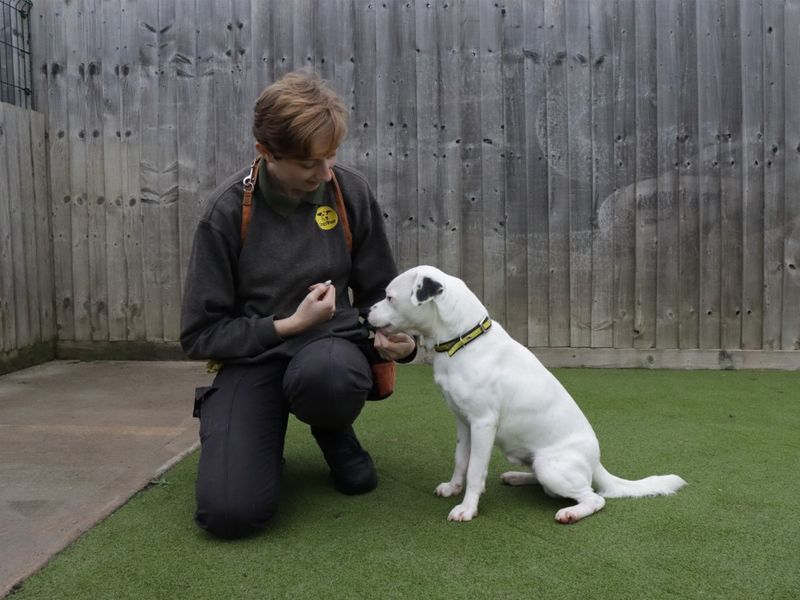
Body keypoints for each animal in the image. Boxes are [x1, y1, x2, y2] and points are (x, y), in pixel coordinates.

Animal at [368, 264, 688, 524]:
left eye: (389, 297)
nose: (366, 312)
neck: (463, 340)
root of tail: (596, 462)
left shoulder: (483, 423)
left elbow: (475, 470)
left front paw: (467, 508)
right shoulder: (462, 421)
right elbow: (461, 460)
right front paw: (453, 488)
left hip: (550, 466)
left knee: (594, 498)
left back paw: (571, 512)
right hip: (537, 463)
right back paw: (517, 477)